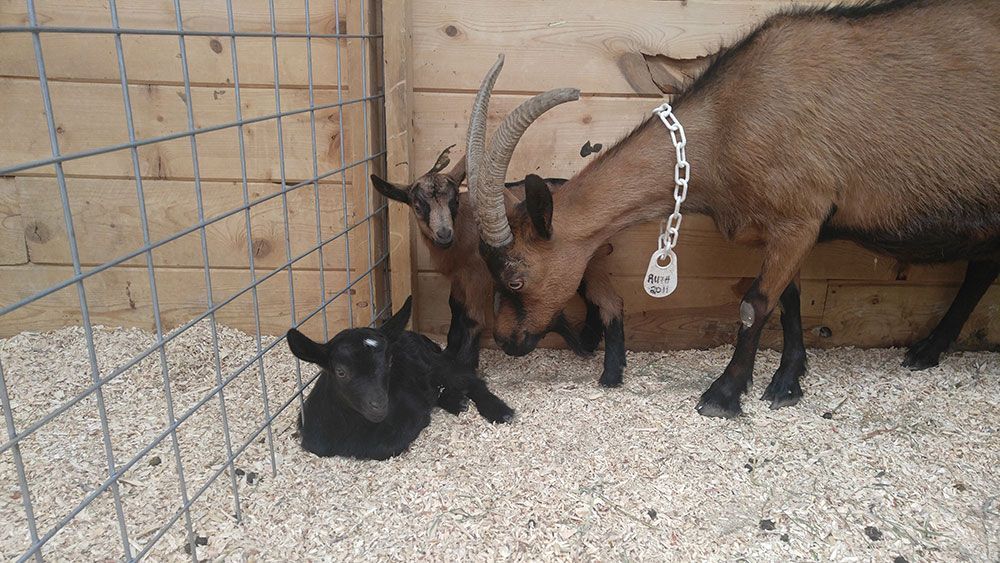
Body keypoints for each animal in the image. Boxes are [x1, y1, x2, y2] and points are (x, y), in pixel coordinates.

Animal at [287, 297, 514, 460]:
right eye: (341, 371)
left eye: (389, 362)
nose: (379, 404)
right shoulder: (314, 439)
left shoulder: (412, 413)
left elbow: (384, 447)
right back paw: (457, 402)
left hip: (436, 364)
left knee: (470, 381)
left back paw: (500, 411)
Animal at [371, 137, 626, 387]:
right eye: (417, 205)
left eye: (454, 202)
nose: (444, 234)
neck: (461, 233)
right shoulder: (458, 276)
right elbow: (455, 308)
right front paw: (449, 354)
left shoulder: (477, 275)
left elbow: (472, 317)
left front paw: (465, 364)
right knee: (590, 298)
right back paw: (589, 343)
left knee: (607, 300)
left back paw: (608, 369)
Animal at [464, 0, 1000, 418]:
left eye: (515, 277)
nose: (506, 341)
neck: (728, 122)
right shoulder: (788, 228)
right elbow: (788, 300)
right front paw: (788, 381)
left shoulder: (799, 216)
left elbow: (754, 304)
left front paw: (724, 395)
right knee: (981, 269)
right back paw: (928, 350)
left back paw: (926, 349)